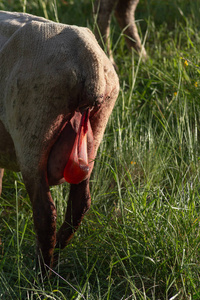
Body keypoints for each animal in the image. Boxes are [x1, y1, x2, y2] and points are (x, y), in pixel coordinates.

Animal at [0, 11, 119, 272]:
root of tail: (89, 61)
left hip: (34, 131)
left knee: (45, 213)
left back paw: (43, 271)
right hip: (96, 130)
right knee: (80, 203)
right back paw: (58, 253)